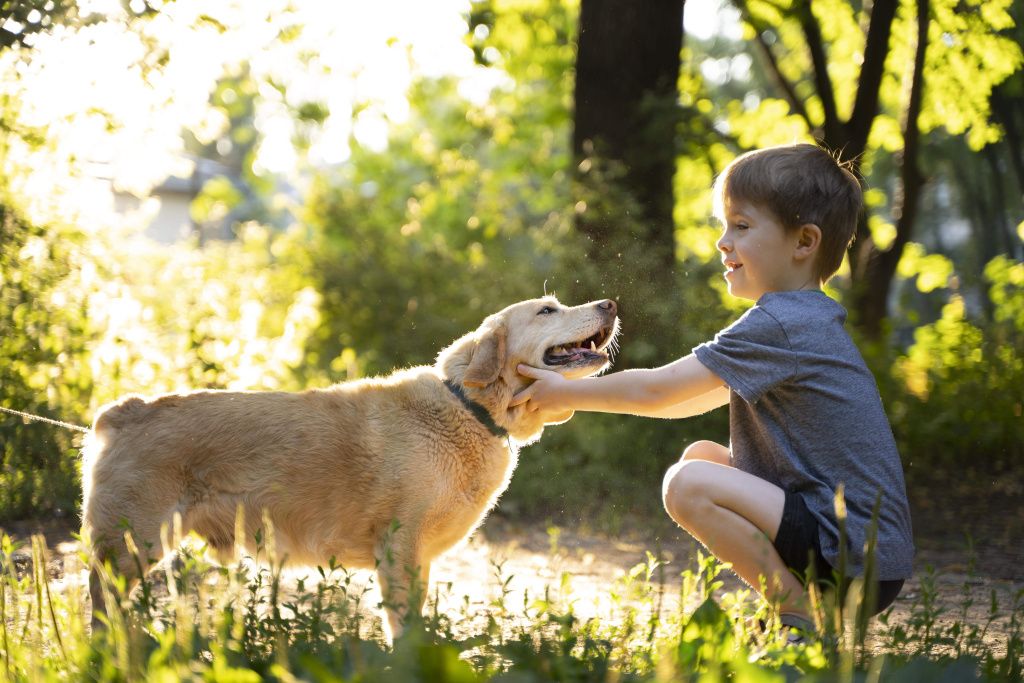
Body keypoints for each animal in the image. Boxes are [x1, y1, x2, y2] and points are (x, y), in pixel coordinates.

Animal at [83, 294, 614, 643]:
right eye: (547, 311)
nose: (610, 304)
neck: (467, 407)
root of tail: (128, 410)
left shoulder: (418, 558)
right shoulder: (399, 548)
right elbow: (404, 626)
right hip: (130, 547)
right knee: (99, 603)